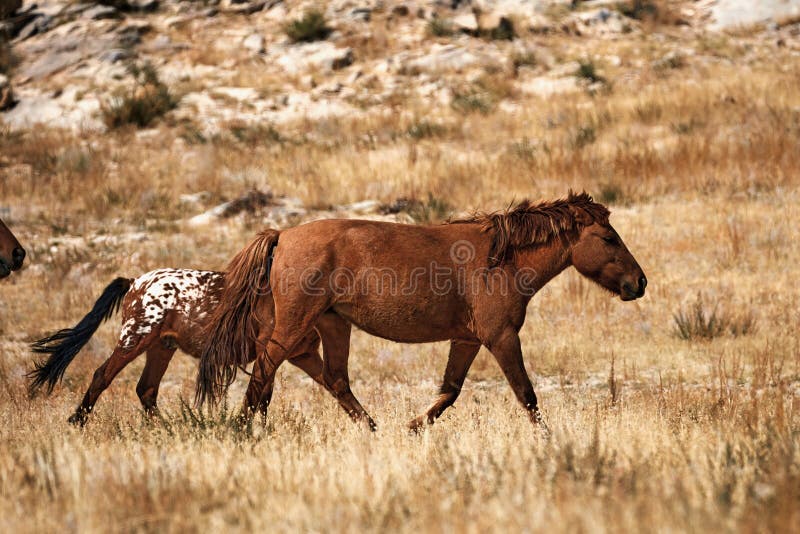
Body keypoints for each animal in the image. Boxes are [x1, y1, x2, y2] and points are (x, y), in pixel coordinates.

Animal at [28, 264, 324, 428]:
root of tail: (135, 282)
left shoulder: (295, 355)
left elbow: (266, 397)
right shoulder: (271, 352)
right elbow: (260, 396)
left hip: (161, 347)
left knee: (146, 388)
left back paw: (164, 428)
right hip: (135, 338)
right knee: (103, 375)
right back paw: (77, 421)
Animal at [197, 193, 648, 432]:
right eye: (608, 238)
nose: (639, 283)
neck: (502, 259)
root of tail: (282, 235)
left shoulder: (467, 339)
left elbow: (450, 390)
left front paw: (414, 427)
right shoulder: (501, 337)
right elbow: (527, 394)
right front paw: (549, 439)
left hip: (331, 323)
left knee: (331, 377)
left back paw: (373, 430)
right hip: (296, 325)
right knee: (267, 368)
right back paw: (243, 426)